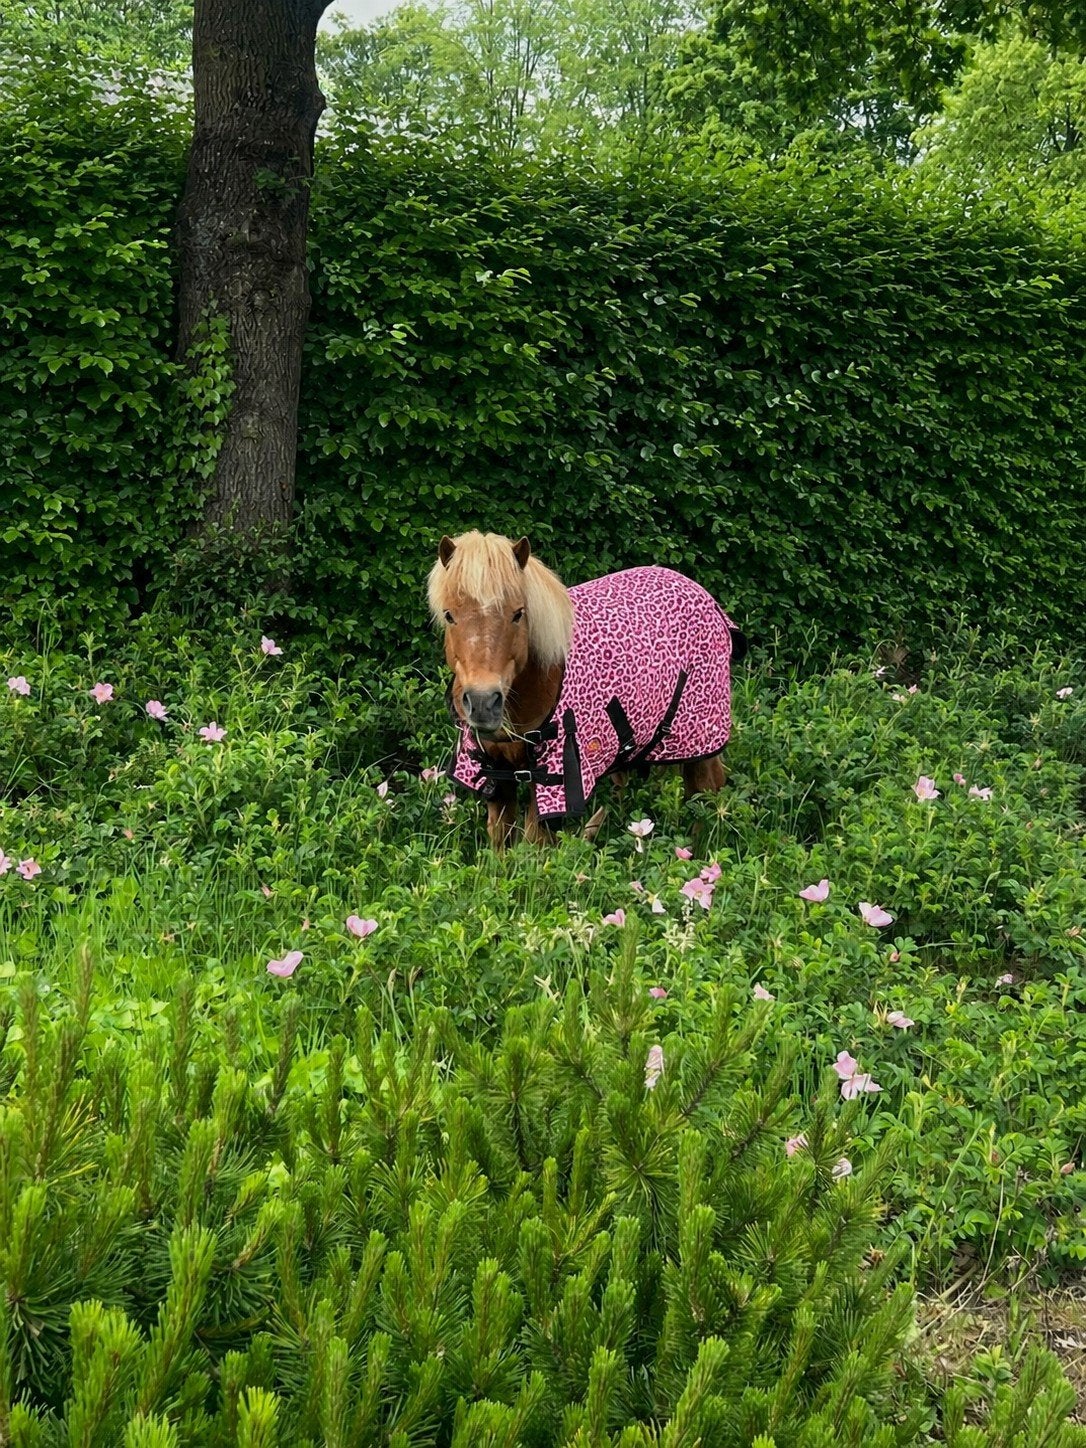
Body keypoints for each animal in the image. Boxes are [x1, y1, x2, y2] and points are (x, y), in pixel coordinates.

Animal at [429, 531, 745, 848]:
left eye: (518, 614)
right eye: (449, 615)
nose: (483, 703)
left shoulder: (552, 782)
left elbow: (533, 846)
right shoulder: (496, 778)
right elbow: (501, 844)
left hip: (700, 740)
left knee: (704, 791)